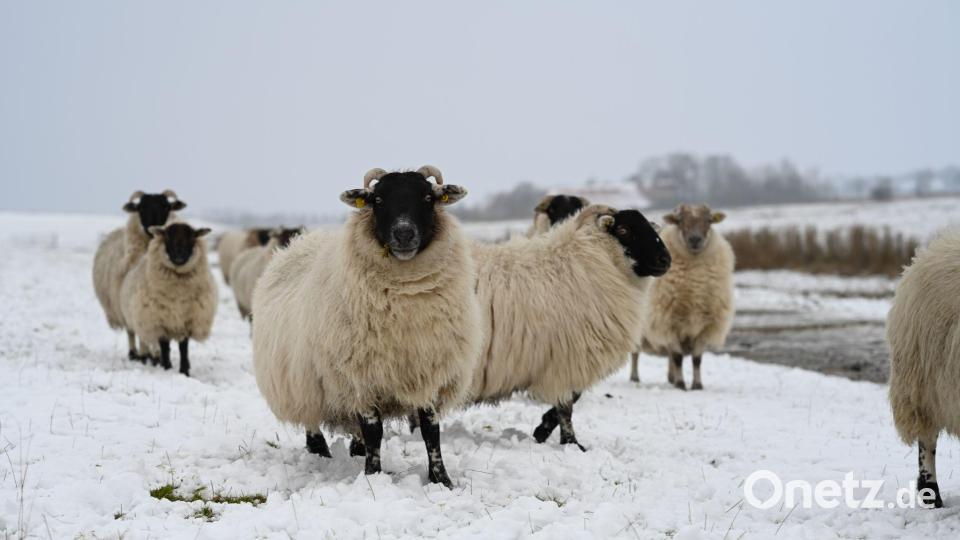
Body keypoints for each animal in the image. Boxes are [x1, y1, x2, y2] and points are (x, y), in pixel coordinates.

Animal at [92, 190, 186, 360]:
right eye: (141, 208)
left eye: (166, 207)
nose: (154, 227)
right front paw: (149, 355)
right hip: (123, 305)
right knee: (131, 331)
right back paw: (136, 354)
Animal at [120, 222, 217, 377]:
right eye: (167, 237)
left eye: (191, 237)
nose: (179, 255)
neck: (177, 294)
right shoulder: (159, 320)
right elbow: (165, 347)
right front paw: (167, 367)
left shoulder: (187, 320)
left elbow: (183, 348)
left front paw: (184, 371)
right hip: (139, 318)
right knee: (141, 338)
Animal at [251, 166, 481, 487]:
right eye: (378, 200)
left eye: (427, 197)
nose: (404, 233)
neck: (407, 296)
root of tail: (297, 245)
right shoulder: (359, 377)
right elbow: (375, 431)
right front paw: (373, 476)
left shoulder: (429, 371)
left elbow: (430, 431)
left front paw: (441, 479)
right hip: (300, 381)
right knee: (311, 419)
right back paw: (320, 452)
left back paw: (354, 450)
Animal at [466, 204, 671, 450]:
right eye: (624, 230)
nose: (665, 260)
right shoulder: (568, 358)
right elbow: (567, 405)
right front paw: (570, 443)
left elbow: (570, 400)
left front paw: (543, 429)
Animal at [631, 204, 734, 390]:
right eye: (679, 221)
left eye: (709, 220)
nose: (695, 239)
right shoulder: (668, 322)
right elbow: (678, 357)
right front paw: (680, 384)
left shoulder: (705, 326)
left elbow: (696, 359)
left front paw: (697, 385)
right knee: (635, 354)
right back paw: (635, 377)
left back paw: (670, 377)